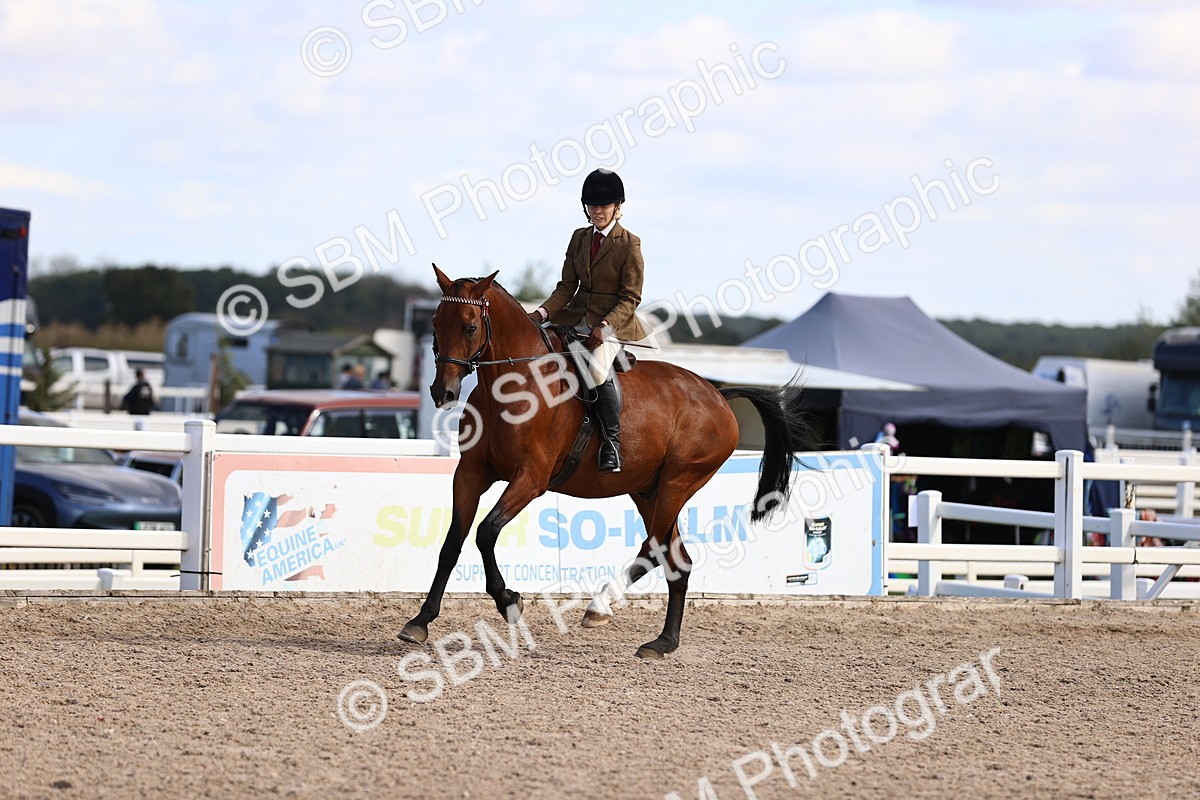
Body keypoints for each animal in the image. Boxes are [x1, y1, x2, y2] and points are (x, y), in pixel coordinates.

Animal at [398, 266, 817, 658]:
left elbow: (486, 533)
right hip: (648, 491)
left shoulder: (531, 478)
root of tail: (717, 393)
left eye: (470, 327)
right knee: (676, 561)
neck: (514, 387)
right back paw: (663, 643)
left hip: (679, 481)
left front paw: (509, 602)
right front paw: (420, 621)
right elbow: (452, 544)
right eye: (435, 323)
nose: (442, 393)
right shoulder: (469, 473)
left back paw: (600, 607)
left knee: (653, 548)